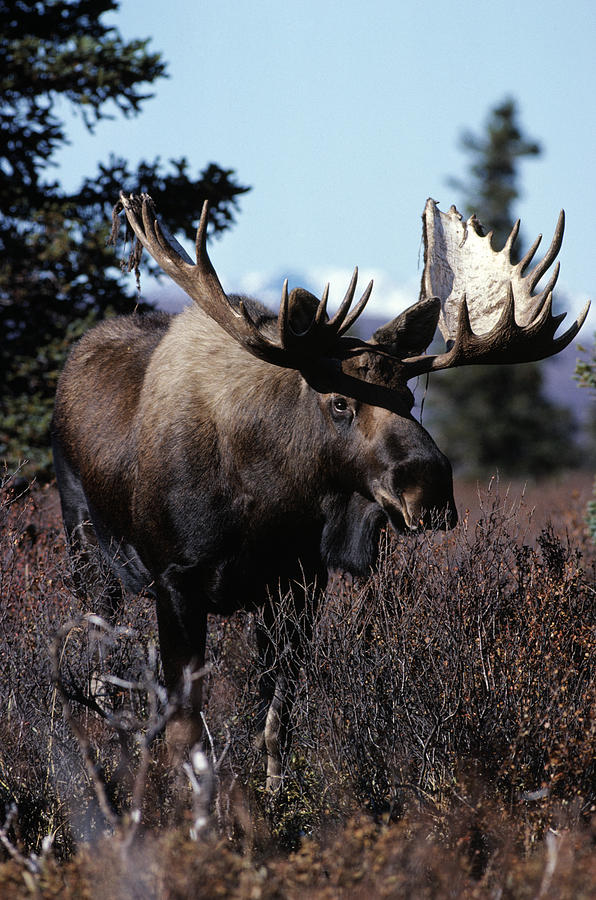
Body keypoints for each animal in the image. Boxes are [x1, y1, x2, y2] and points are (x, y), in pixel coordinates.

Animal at [53, 197, 588, 788]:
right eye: (339, 402)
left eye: (409, 396)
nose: (430, 491)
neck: (268, 504)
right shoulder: (177, 582)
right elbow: (187, 733)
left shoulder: (298, 587)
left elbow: (274, 723)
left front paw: (273, 798)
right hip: (88, 554)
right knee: (97, 674)